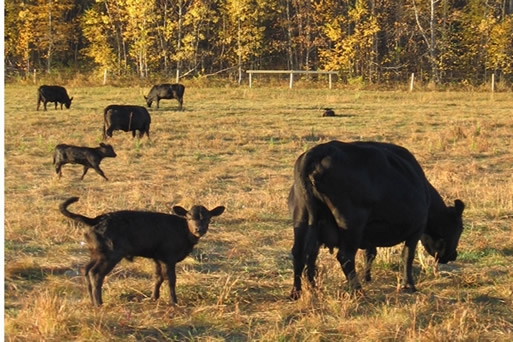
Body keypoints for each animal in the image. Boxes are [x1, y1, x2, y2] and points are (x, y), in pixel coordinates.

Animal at [59, 196, 223, 306]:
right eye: (189, 217)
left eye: (208, 218)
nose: (199, 229)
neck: (182, 231)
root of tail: (94, 219)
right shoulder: (168, 257)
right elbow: (171, 279)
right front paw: (173, 301)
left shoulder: (157, 257)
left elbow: (158, 277)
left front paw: (153, 297)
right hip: (110, 254)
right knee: (96, 273)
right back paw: (99, 303)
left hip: (96, 253)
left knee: (86, 269)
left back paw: (92, 301)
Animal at [288, 140, 464, 300]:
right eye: (459, 230)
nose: (454, 255)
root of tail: (318, 151)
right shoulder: (416, 229)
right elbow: (407, 256)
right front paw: (409, 285)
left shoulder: (369, 233)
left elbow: (370, 253)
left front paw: (367, 277)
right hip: (352, 224)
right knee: (345, 256)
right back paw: (358, 291)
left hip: (302, 217)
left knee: (299, 253)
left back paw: (298, 292)